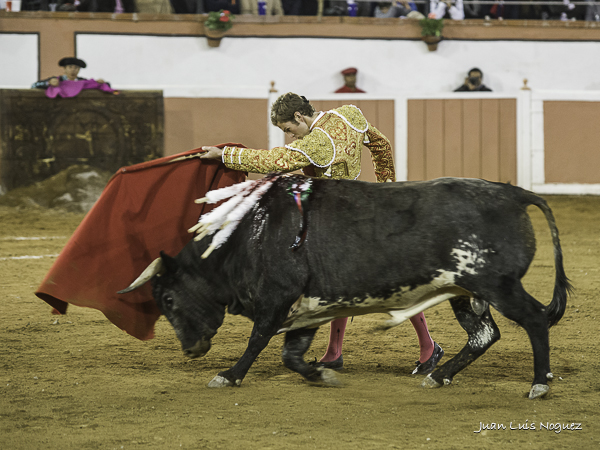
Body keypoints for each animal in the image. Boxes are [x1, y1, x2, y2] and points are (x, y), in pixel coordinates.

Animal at [118, 175, 572, 398]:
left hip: (497, 285)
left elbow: (258, 340)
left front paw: (228, 376)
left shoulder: (278, 299)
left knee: (534, 320)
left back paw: (539, 383)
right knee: (484, 334)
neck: (247, 237)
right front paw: (321, 375)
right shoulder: (306, 308)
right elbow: (291, 355)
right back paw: (438, 377)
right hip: (467, 292)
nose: (190, 349)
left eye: (169, 297)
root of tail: (515, 194)